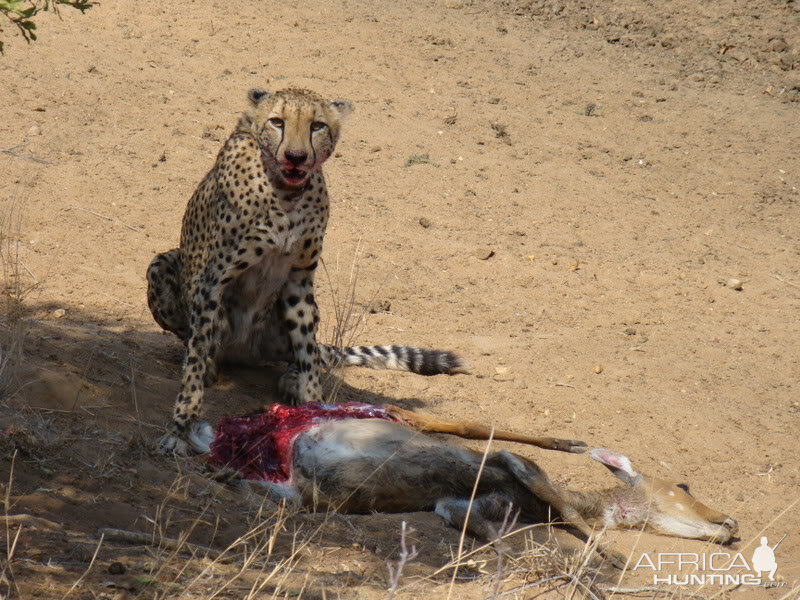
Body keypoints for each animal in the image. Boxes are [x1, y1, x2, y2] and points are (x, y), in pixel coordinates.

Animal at [147, 88, 466, 454]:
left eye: (317, 126)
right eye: (277, 122)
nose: (296, 156)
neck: (285, 192)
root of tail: (243, 352)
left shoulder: (299, 279)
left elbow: (307, 352)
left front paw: (314, 408)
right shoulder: (213, 279)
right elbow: (196, 360)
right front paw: (181, 427)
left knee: (304, 353)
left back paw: (291, 378)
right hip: (161, 266)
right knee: (198, 343)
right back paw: (210, 365)